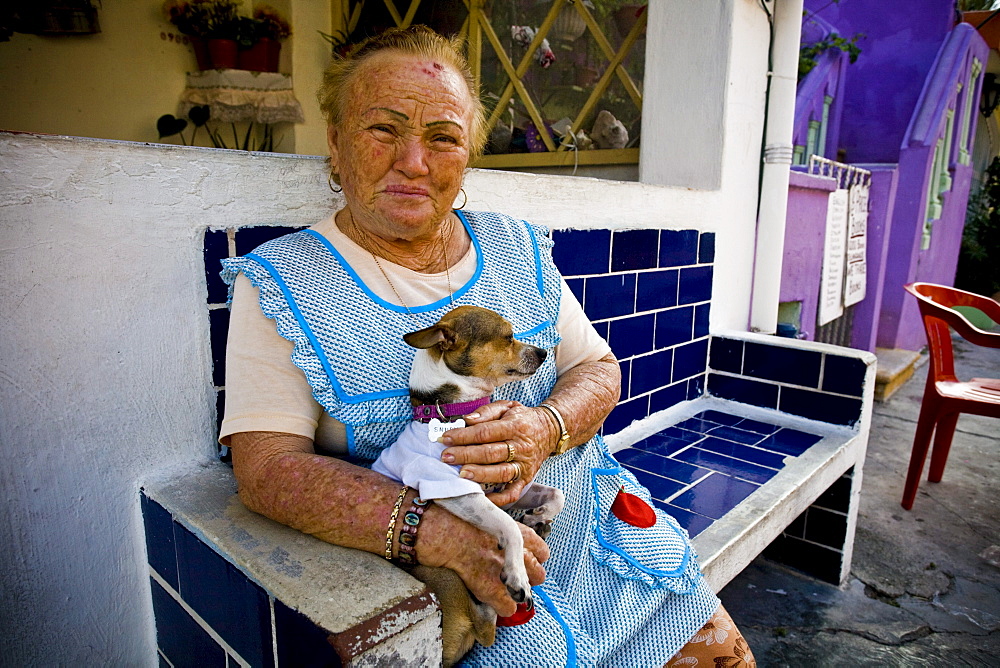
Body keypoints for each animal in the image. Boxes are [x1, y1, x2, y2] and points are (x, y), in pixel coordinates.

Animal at [374, 306, 564, 664]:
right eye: (508, 336)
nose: (544, 352)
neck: (455, 413)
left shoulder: (504, 489)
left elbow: (553, 495)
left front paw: (538, 515)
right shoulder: (459, 492)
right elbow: (509, 526)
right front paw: (517, 571)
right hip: (443, 575)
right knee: (486, 624)